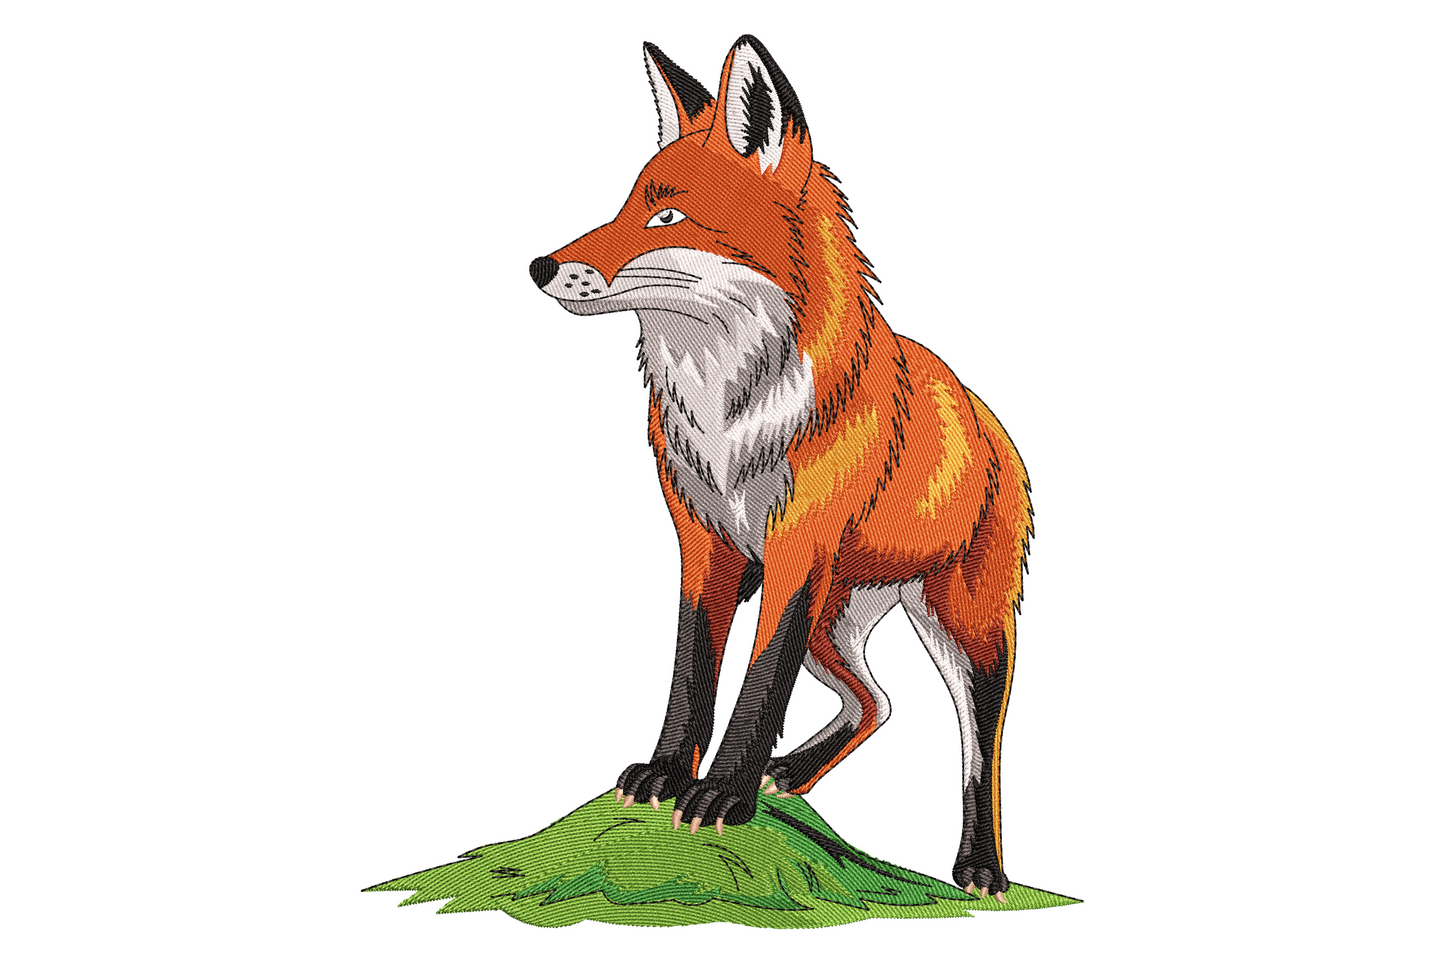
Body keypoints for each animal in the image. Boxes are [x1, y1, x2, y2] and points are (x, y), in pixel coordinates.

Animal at [527, 36, 1033, 902]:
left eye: (666, 216)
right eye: (622, 207)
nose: (538, 265)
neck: (731, 413)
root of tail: (990, 421)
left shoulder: (798, 545)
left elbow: (759, 683)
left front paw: (720, 794)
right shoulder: (706, 546)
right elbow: (693, 672)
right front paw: (668, 773)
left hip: (965, 630)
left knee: (980, 748)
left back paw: (979, 865)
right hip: (834, 622)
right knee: (877, 702)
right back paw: (791, 772)